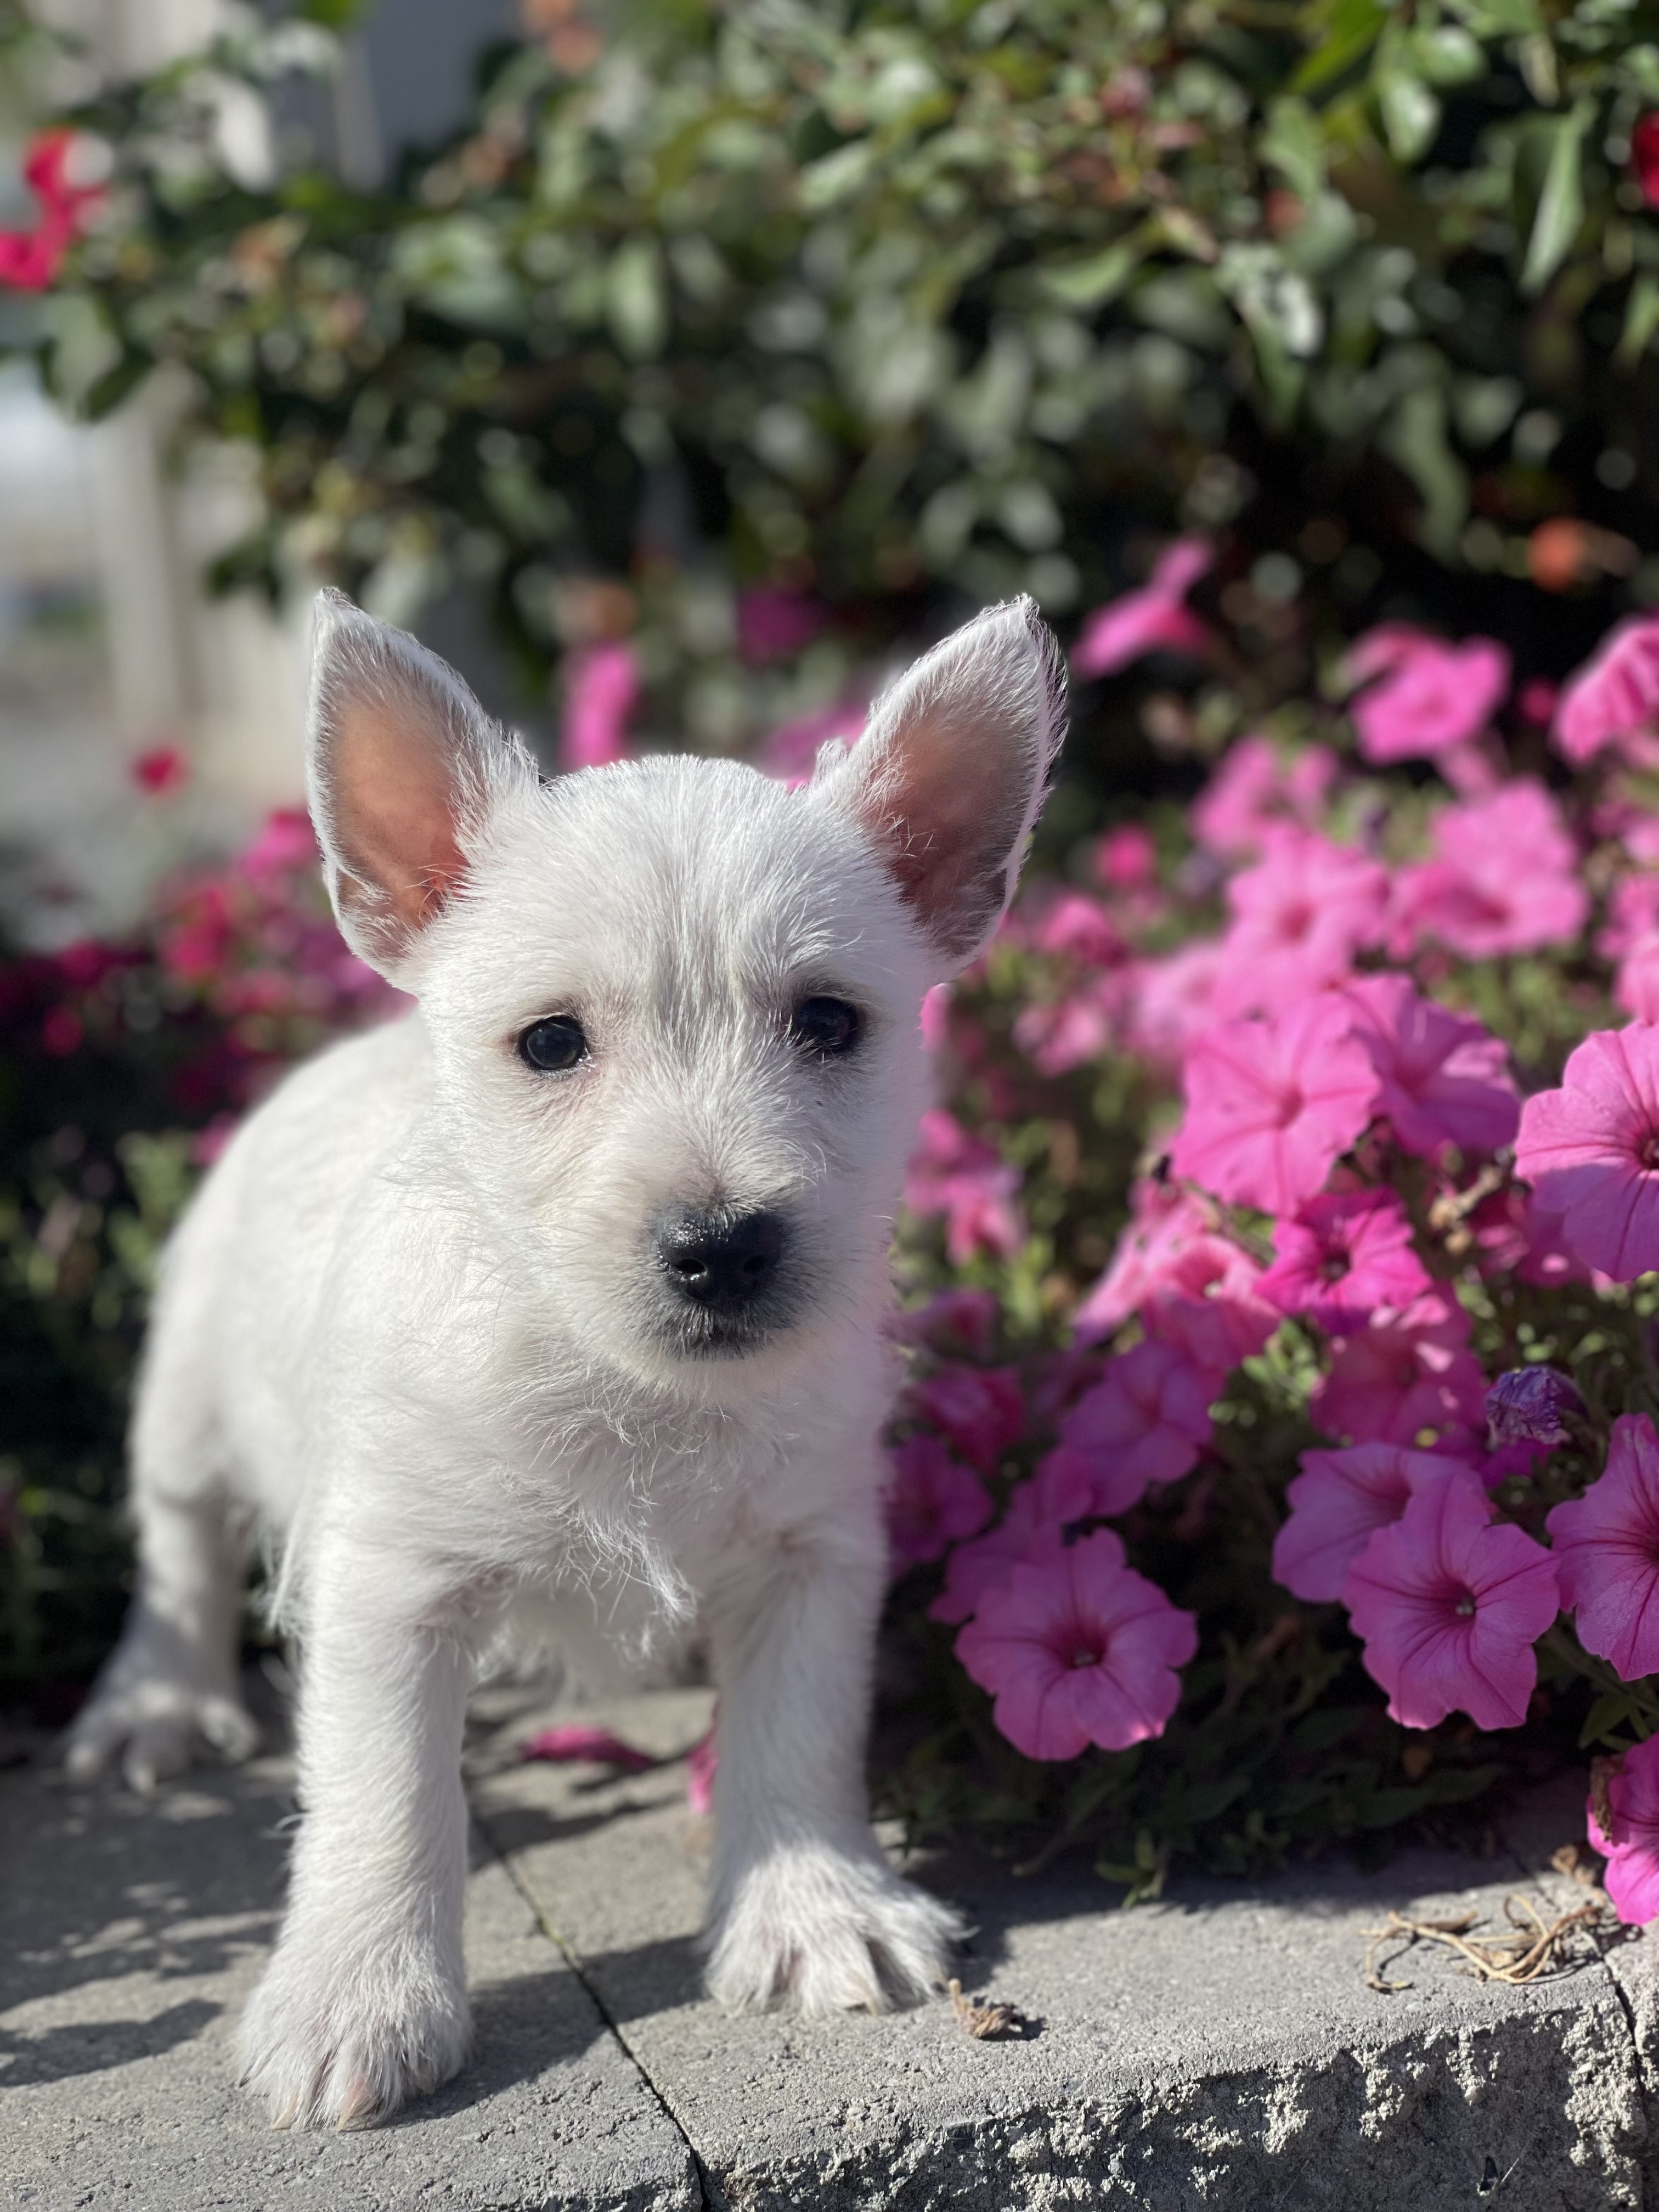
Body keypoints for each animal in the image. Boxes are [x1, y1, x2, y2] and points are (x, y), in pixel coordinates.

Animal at [61, 584, 1066, 2123]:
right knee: (178, 1545)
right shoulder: (392, 1584)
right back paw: (155, 1703)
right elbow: (383, 1794)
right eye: (549, 1043)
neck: (625, 1387)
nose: (724, 1246)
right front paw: (357, 2000)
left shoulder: (816, 1555)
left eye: (829, 1022)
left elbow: (798, 1730)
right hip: (183, 1399)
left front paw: (814, 1908)